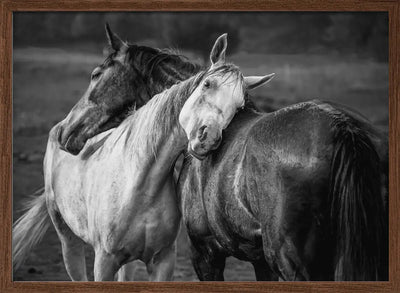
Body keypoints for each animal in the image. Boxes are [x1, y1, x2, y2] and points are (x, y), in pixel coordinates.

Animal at [12, 34, 272, 280]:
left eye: (239, 106)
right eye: (207, 84)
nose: (207, 137)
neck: (140, 184)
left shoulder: (165, 260)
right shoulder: (104, 261)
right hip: (68, 242)